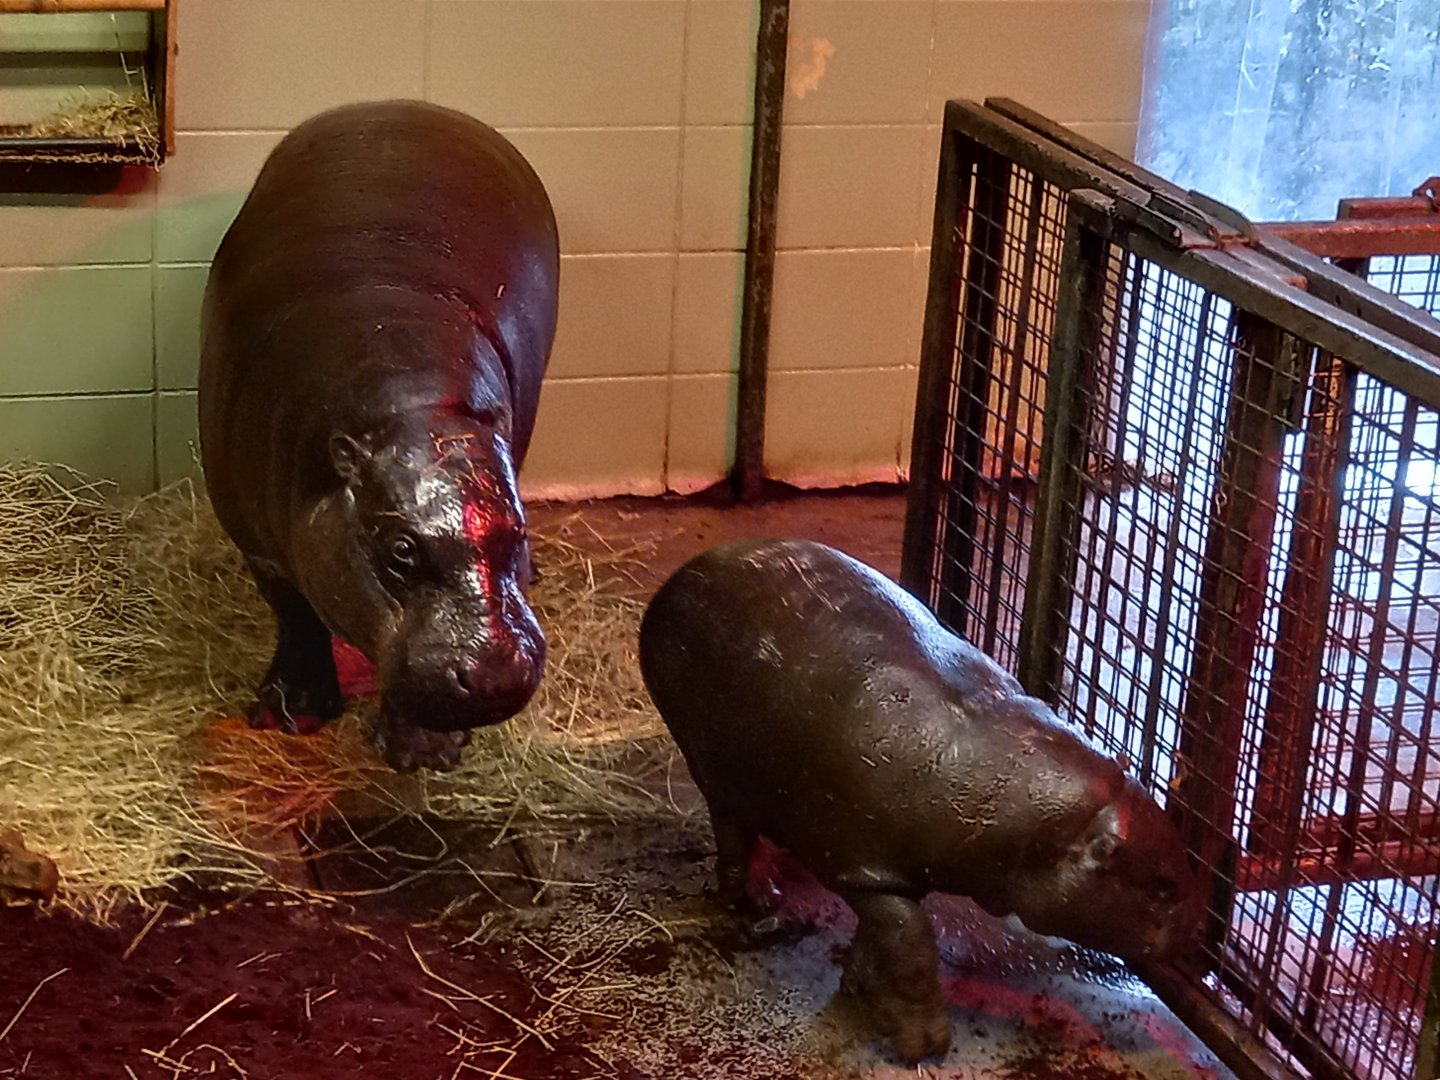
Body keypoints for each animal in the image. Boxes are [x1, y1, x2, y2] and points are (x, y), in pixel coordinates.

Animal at [199, 100, 558, 771]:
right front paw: (289, 716)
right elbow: (295, 613)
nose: (495, 675)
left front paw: (424, 751)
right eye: (401, 549)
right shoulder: (258, 540)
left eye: (518, 532)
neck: (413, 406)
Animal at [638, 538, 1204, 1062]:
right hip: (710, 760)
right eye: (1163, 888)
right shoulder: (867, 868)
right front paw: (925, 1046)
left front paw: (859, 989)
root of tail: (678, 577)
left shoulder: (892, 875)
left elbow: (883, 938)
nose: (1195, 942)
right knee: (732, 830)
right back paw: (757, 899)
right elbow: (911, 944)